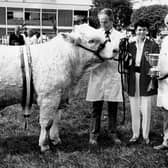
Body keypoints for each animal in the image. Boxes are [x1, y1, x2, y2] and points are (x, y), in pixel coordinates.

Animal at [0, 24, 117, 152]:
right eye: (91, 41)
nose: (115, 50)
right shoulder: (49, 97)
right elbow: (46, 123)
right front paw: (44, 145)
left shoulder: (60, 97)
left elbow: (56, 120)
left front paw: (55, 139)